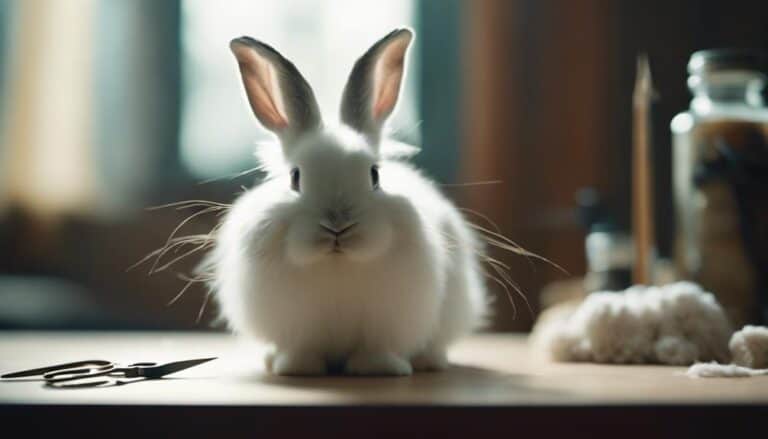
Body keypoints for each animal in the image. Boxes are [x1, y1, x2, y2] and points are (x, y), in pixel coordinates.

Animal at [205, 28, 489, 376]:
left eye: (374, 175)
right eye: (296, 177)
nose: (338, 226)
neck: (337, 264)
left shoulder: (385, 325)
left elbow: (377, 348)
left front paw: (378, 369)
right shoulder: (299, 329)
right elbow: (301, 350)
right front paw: (297, 368)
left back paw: (429, 361)